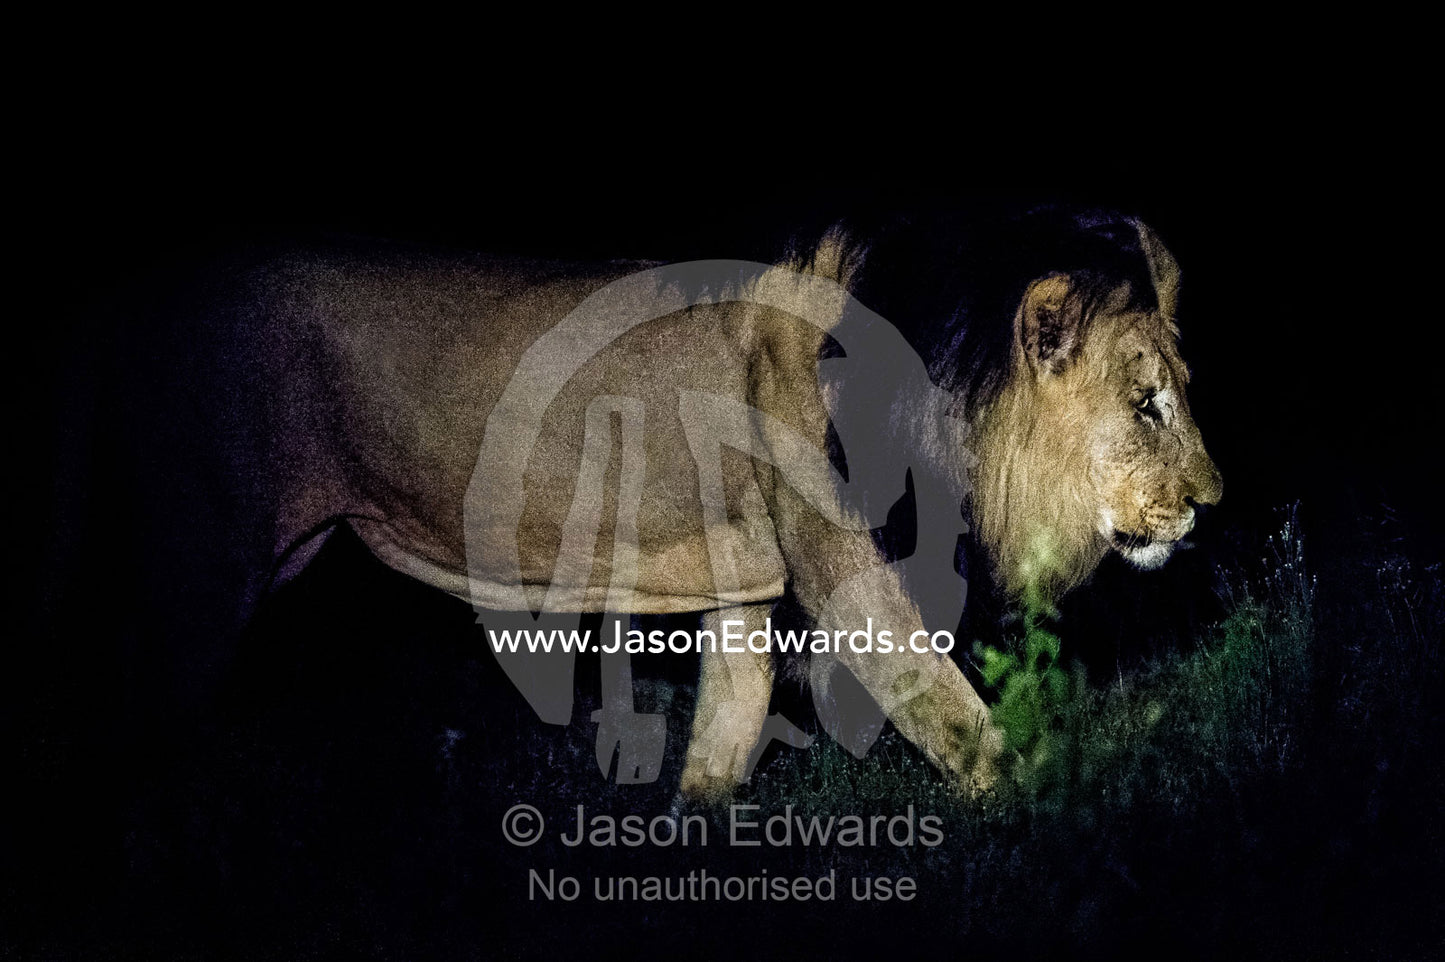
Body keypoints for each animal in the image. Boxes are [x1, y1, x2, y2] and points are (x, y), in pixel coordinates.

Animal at [195, 209, 1218, 801]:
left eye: (1176, 392)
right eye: (1146, 406)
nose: (1211, 502)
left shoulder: (741, 587)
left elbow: (726, 722)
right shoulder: (849, 579)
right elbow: (961, 725)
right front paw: (1079, 804)